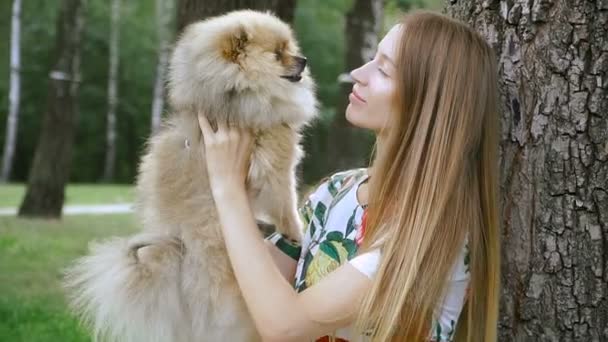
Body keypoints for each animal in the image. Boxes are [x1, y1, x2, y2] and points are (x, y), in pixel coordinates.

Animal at [63, 10, 318, 342]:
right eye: (277, 54)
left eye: (290, 48)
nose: (303, 59)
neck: (236, 92)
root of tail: (179, 249)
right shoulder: (277, 167)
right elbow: (286, 204)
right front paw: (297, 231)